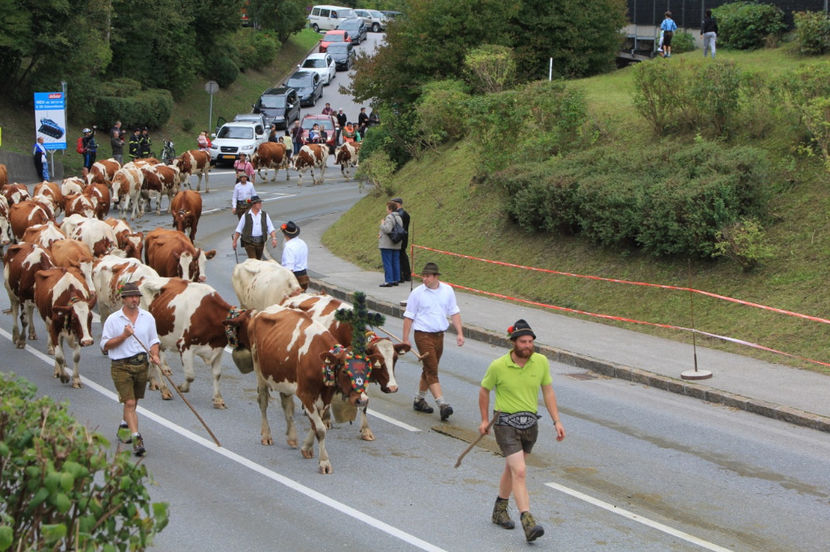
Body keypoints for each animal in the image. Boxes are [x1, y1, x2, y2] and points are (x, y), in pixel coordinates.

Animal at [139, 278, 254, 408]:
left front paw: (218, 399)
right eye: (251, 328)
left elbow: (217, 374)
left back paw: (154, 383)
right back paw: (164, 389)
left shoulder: (217, 350)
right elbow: (190, 375)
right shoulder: (184, 345)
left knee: (155, 360)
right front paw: (182, 388)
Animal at [242, 294, 394, 474]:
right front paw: (324, 463)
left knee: (286, 403)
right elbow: (320, 428)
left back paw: (292, 437)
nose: (362, 400)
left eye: (368, 371)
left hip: (283, 375)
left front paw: (307, 448)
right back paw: (266, 435)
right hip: (259, 370)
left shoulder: (324, 397)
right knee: (263, 401)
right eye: (345, 371)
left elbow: (316, 424)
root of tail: (263, 311)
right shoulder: (306, 394)